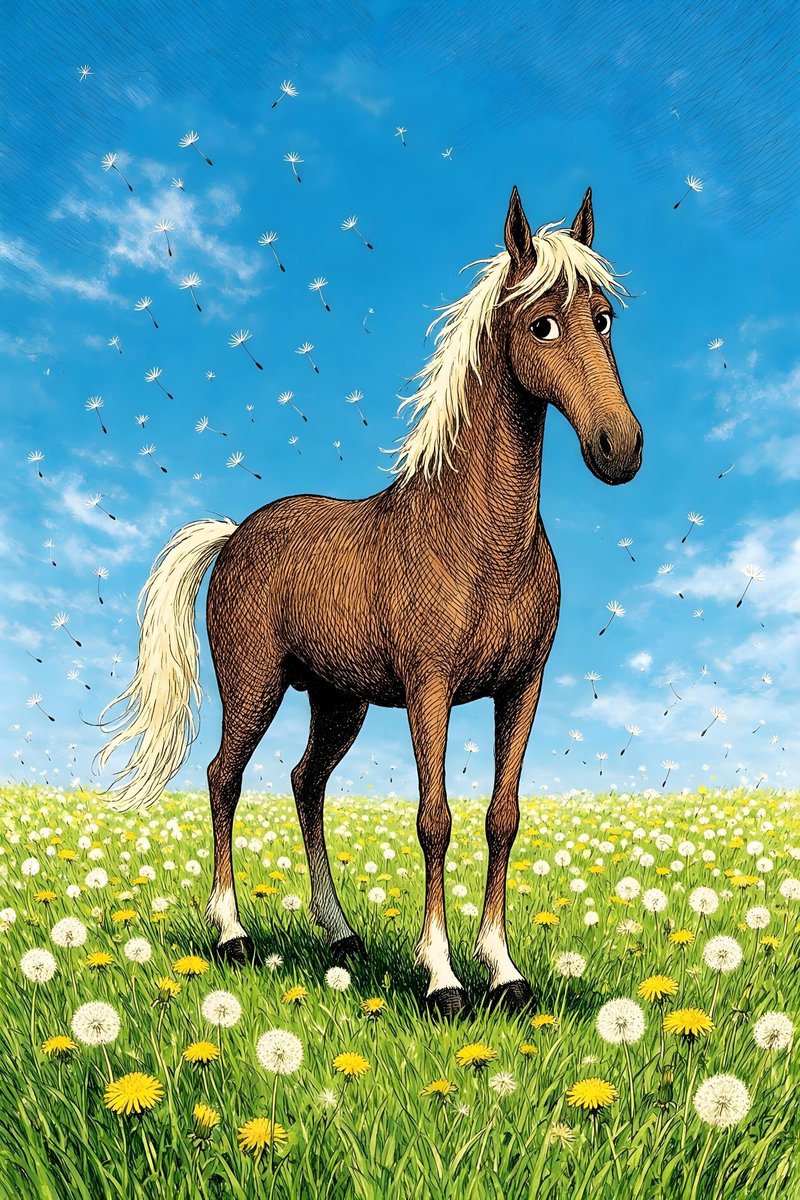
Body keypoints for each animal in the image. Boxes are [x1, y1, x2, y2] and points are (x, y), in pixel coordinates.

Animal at [99, 186, 642, 1018]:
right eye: (541, 324)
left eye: (605, 317)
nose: (621, 447)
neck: (481, 538)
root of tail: (234, 534)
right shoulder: (430, 691)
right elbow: (435, 820)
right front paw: (443, 977)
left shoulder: (522, 688)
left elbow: (502, 818)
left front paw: (504, 970)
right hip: (255, 685)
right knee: (225, 778)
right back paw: (232, 933)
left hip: (338, 701)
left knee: (305, 783)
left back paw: (340, 932)